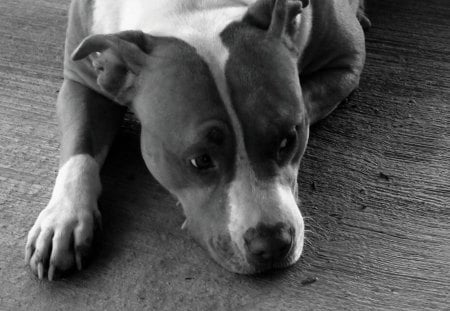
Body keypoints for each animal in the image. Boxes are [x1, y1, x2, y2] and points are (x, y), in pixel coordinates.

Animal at [24, 0, 368, 282]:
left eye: (288, 140)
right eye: (200, 160)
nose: (272, 245)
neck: (189, 8)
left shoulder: (346, 63)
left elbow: (307, 102)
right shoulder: (80, 81)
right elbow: (79, 149)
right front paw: (65, 219)